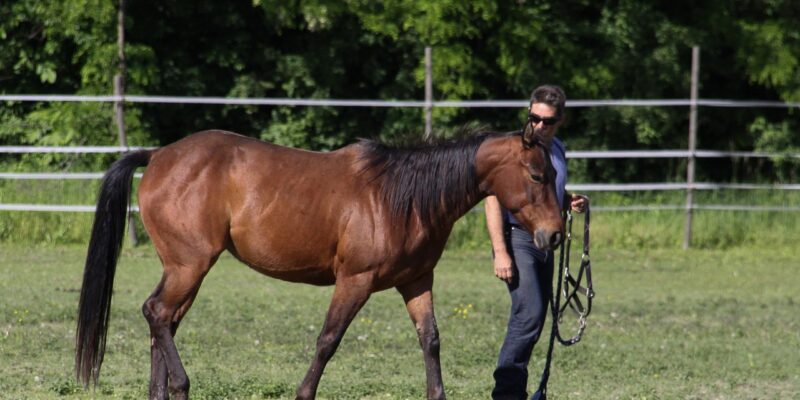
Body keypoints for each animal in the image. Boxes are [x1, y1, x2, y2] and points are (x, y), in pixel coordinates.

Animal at [75, 128, 564, 400]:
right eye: (537, 175)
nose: (556, 234)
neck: (401, 197)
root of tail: (159, 155)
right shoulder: (355, 281)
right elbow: (328, 341)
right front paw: (303, 393)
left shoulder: (417, 282)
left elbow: (431, 341)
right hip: (190, 266)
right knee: (157, 314)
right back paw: (181, 386)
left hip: (183, 270)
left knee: (163, 322)